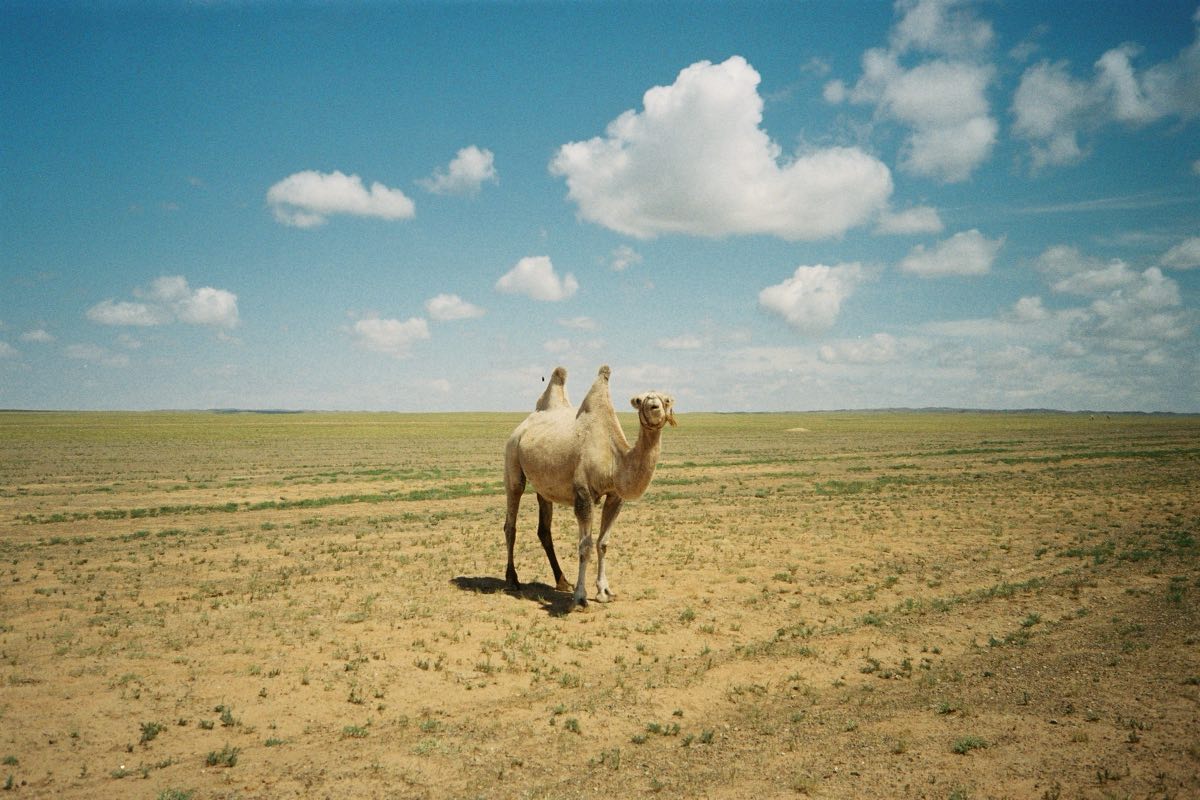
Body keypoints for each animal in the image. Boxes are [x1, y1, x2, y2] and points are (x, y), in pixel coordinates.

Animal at [503, 365, 676, 609]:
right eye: (639, 400)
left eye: (667, 399)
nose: (655, 407)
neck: (614, 459)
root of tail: (522, 426)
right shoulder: (583, 494)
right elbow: (584, 546)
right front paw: (580, 597)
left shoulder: (615, 496)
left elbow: (603, 543)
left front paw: (604, 591)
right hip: (512, 458)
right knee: (511, 520)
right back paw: (512, 579)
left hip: (544, 485)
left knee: (544, 529)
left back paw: (562, 581)